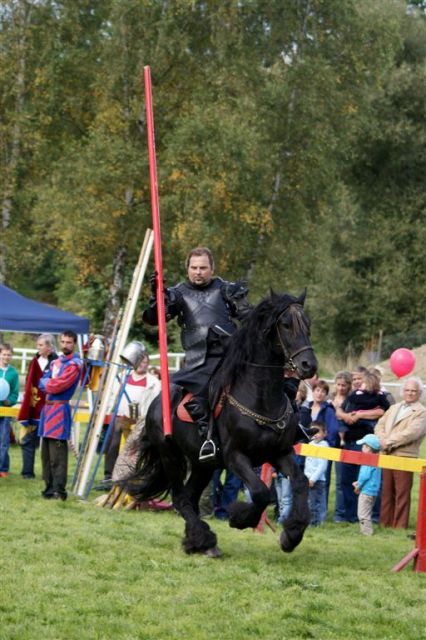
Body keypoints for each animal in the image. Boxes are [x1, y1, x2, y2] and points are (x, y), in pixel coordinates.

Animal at [121, 290, 318, 556]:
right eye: (286, 325)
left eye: (307, 324)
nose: (309, 365)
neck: (261, 397)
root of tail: (153, 405)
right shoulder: (235, 456)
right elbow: (261, 492)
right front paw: (239, 518)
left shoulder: (280, 452)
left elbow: (300, 482)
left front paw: (292, 534)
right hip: (171, 457)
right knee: (180, 499)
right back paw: (203, 540)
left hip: (203, 465)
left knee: (190, 498)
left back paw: (200, 542)